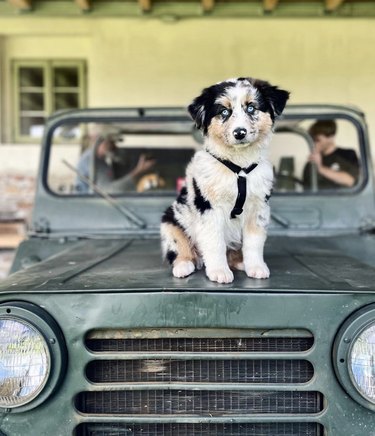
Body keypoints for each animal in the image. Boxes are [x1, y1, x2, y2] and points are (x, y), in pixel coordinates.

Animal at [160, 77, 290, 284]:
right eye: (224, 112)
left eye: (251, 108)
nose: (239, 132)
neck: (239, 167)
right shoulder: (208, 208)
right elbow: (215, 243)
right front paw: (219, 272)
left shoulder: (258, 207)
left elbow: (254, 242)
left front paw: (256, 268)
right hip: (170, 223)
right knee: (179, 249)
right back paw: (184, 266)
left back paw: (239, 262)